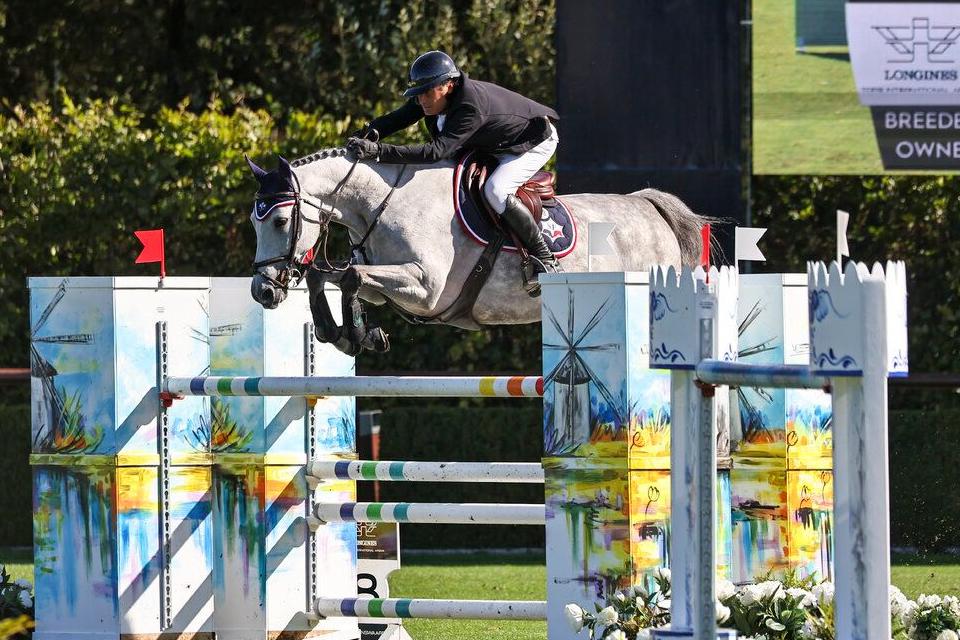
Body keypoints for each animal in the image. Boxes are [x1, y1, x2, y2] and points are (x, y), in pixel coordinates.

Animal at [246, 151, 712, 358]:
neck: (381, 203)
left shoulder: (426, 288)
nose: (262, 292)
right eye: (254, 221)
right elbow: (329, 277)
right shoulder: (389, 282)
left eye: (280, 222)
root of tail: (648, 204)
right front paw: (344, 333)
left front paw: (358, 334)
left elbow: (350, 278)